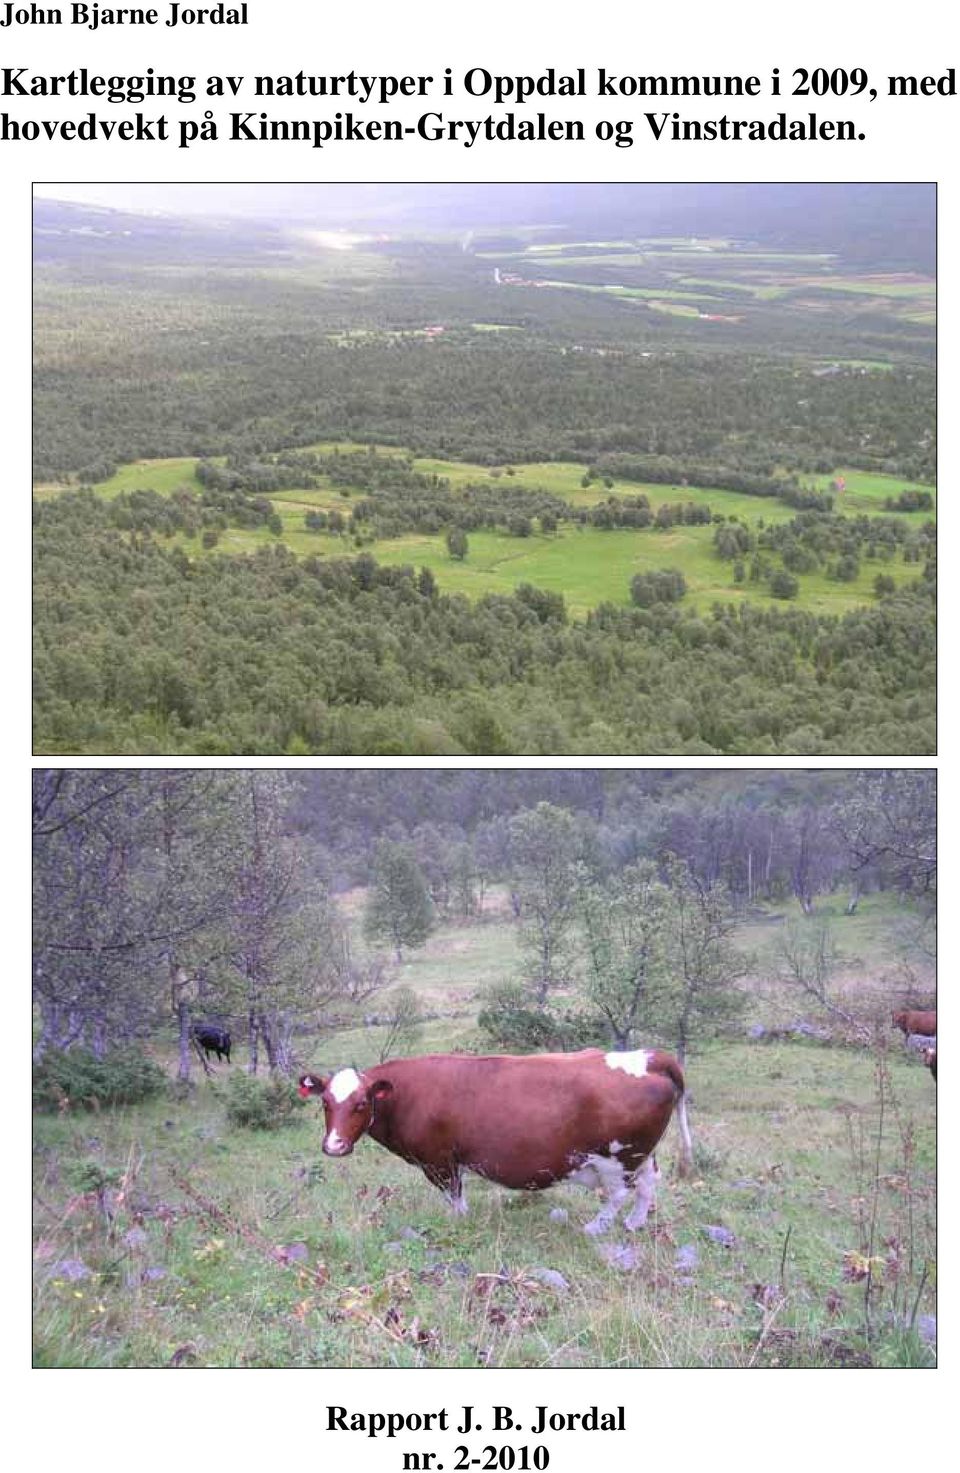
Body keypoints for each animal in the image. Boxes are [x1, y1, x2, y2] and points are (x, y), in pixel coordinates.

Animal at [300, 1048, 683, 1231]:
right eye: (325, 1102)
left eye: (361, 1103)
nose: (334, 1146)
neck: (407, 1094)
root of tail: (649, 1057)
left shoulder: (438, 1160)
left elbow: (454, 1196)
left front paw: (459, 1222)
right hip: (641, 1155)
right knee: (648, 1184)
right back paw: (634, 1224)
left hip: (617, 1157)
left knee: (618, 1194)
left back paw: (594, 1228)